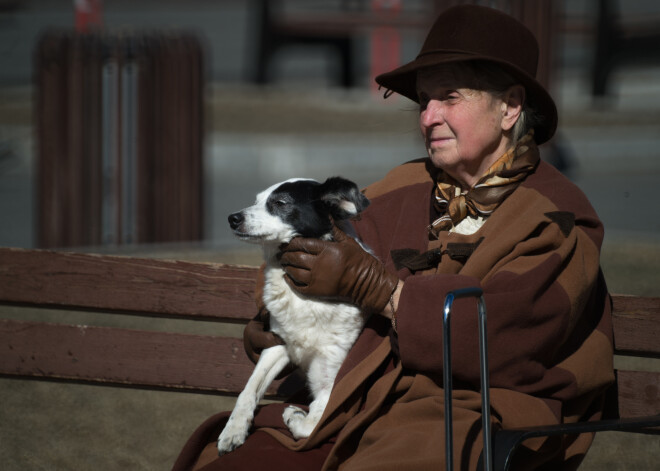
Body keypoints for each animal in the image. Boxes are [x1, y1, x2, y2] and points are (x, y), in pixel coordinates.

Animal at [217, 176, 372, 454]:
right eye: (256, 200)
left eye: (280, 203)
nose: (232, 218)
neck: (305, 299)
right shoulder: (277, 345)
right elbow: (248, 389)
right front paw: (233, 430)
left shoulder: (332, 379)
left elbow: (313, 424)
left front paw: (295, 416)